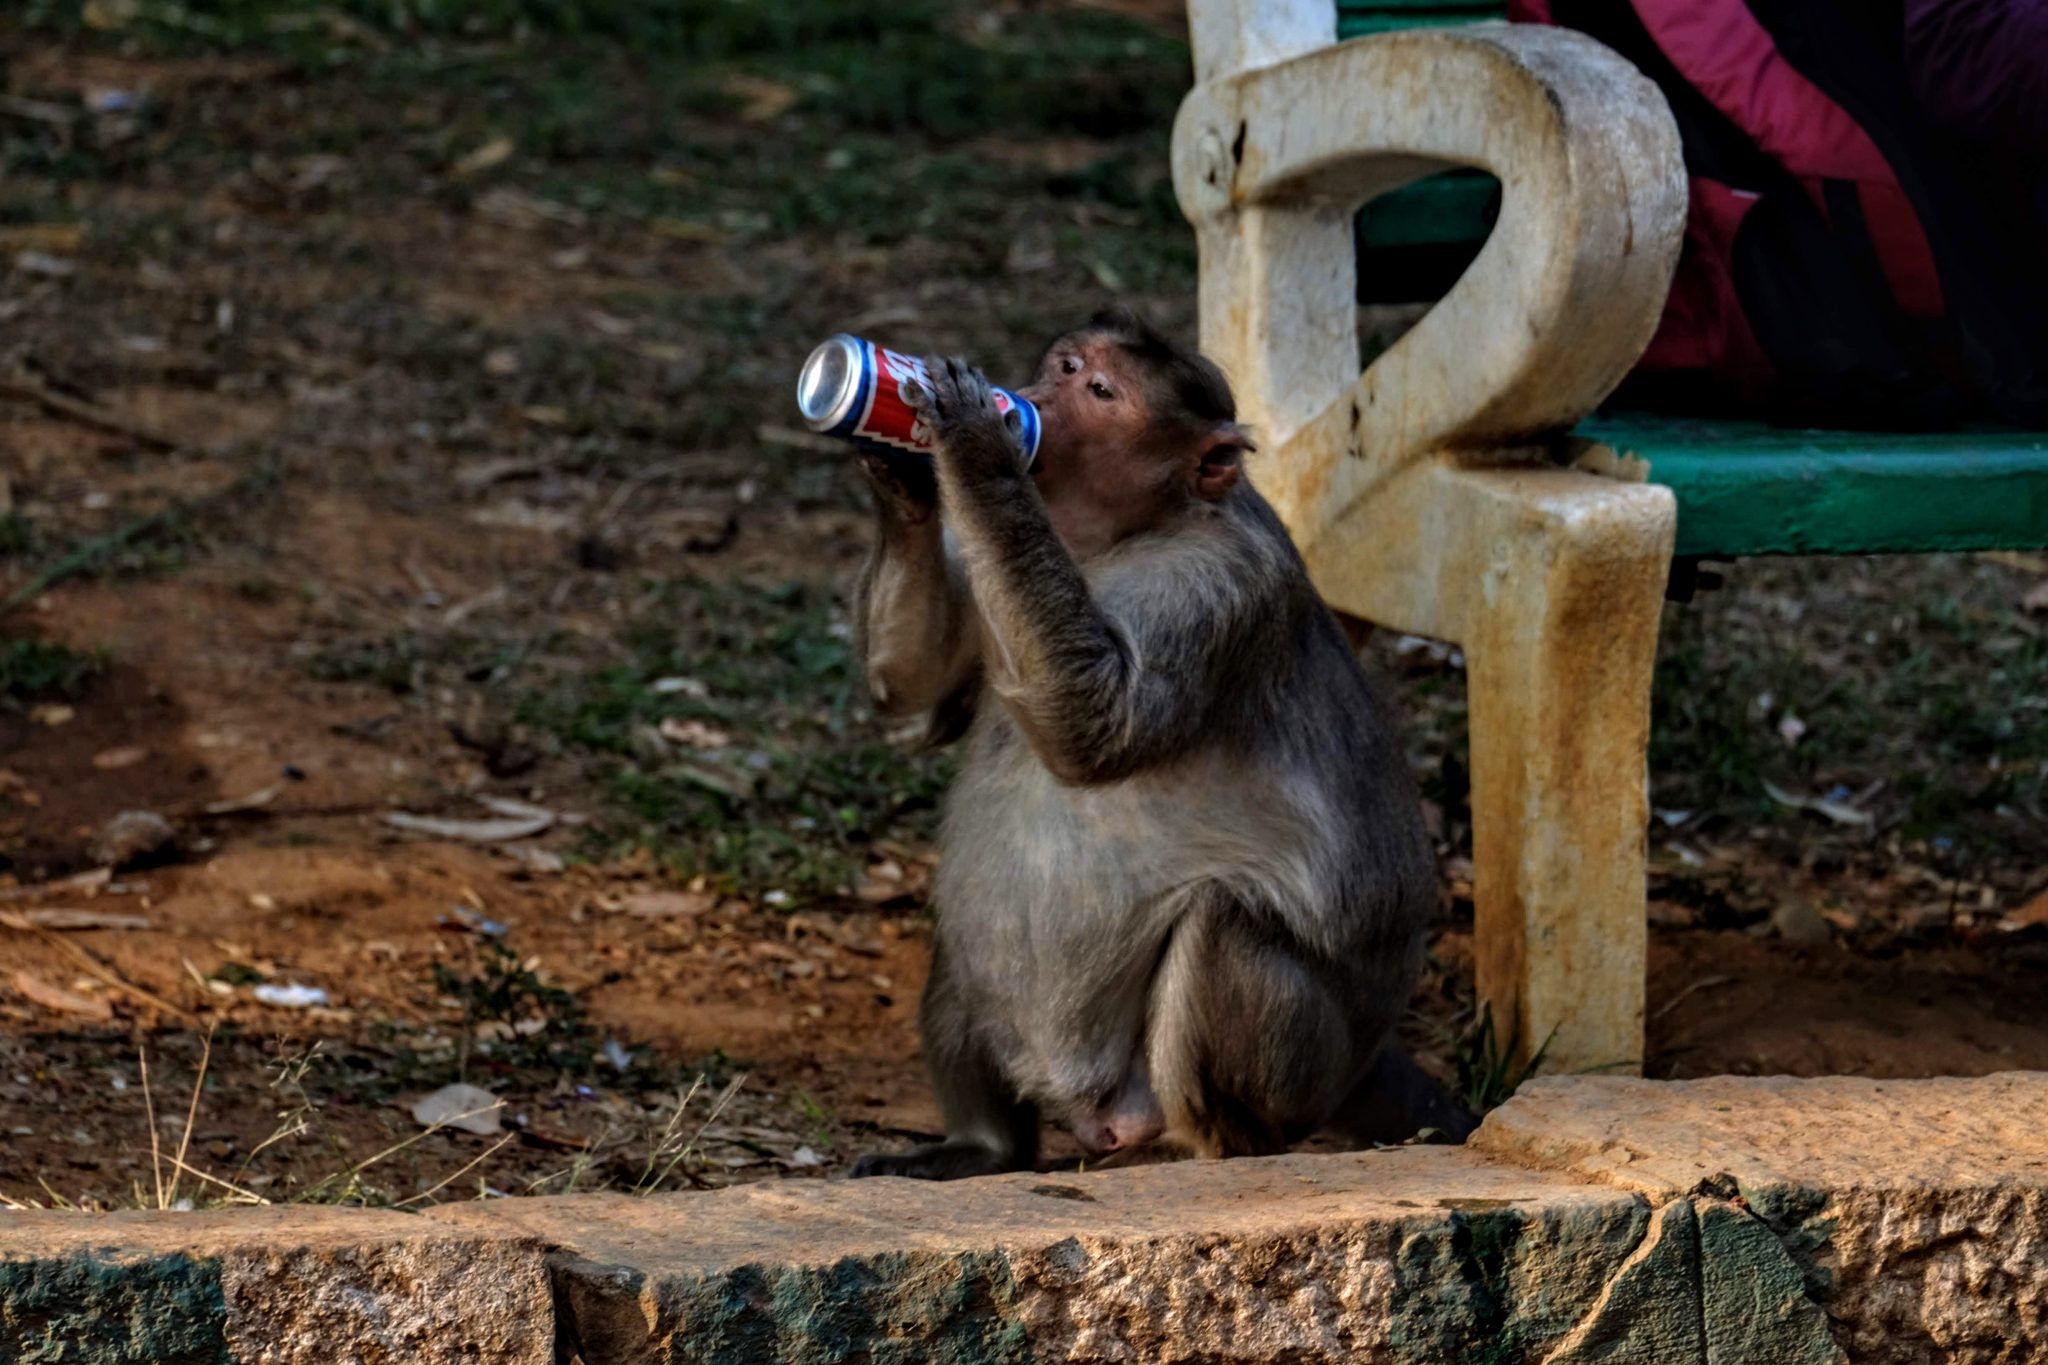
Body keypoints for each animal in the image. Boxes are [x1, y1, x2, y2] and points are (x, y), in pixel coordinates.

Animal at [847, 306, 1474, 1178]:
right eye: (1066, 366)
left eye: (1102, 392)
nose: (1038, 397)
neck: (1118, 534)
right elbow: (914, 684)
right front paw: (902, 469)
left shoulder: (1215, 584)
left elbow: (1096, 722)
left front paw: (976, 445)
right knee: (967, 941)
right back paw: (983, 1146)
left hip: (1295, 1068)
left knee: (1223, 923)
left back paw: (1208, 1146)